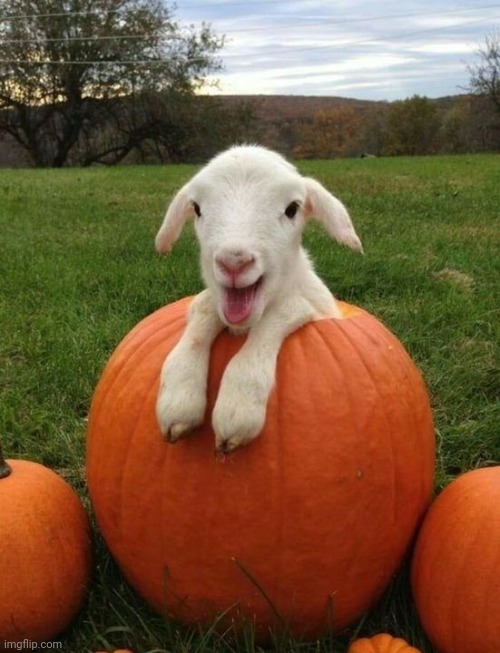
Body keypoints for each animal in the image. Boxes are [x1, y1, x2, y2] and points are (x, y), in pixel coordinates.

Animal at [155, 145, 362, 453]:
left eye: (292, 209)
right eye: (197, 209)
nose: (234, 262)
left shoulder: (309, 307)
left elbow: (286, 311)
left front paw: (238, 406)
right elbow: (202, 309)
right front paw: (179, 398)